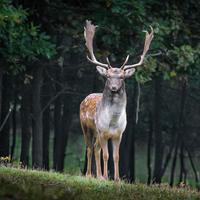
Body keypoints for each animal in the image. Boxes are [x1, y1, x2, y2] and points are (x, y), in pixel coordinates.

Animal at [79, 20, 153, 181]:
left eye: (122, 77)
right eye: (107, 76)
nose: (113, 87)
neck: (112, 122)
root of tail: (85, 98)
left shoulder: (119, 134)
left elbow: (116, 156)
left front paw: (117, 179)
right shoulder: (103, 132)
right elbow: (106, 155)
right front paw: (106, 177)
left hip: (97, 133)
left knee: (96, 149)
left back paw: (98, 175)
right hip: (86, 127)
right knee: (90, 148)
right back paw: (90, 175)